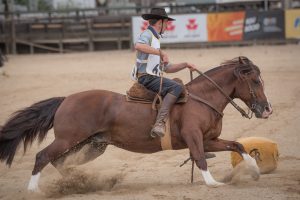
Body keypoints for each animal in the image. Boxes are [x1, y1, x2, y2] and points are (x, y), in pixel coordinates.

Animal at [0, 55, 272, 191]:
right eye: (255, 81)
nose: (267, 109)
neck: (202, 98)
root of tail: (66, 99)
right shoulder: (195, 137)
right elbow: (200, 158)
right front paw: (212, 183)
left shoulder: (210, 140)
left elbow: (237, 145)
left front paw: (254, 171)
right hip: (67, 139)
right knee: (43, 156)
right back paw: (34, 190)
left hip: (92, 145)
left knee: (60, 161)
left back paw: (78, 181)